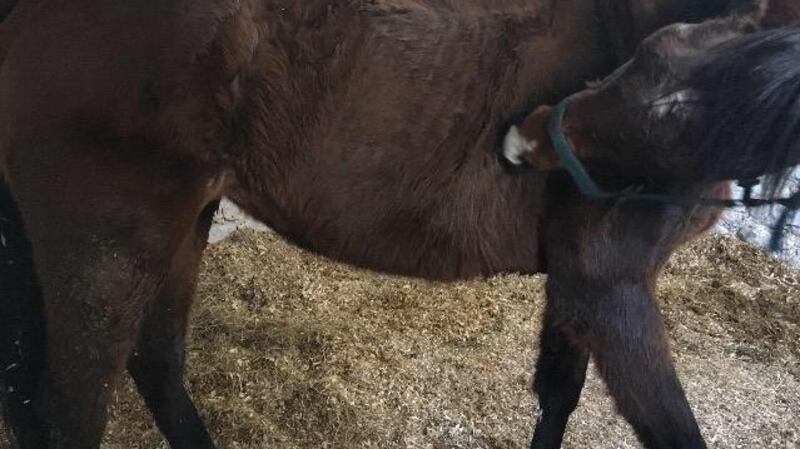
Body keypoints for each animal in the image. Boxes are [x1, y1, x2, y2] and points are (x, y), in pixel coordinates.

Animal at [0, 1, 797, 449]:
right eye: (646, 63)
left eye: (673, 98)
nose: (521, 139)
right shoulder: (611, 286)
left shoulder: (579, 285)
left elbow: (558, 397)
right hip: (109, 239)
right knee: (71, 412)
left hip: (178, 220)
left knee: (155, 361)